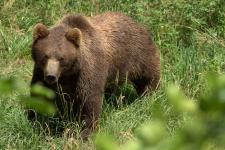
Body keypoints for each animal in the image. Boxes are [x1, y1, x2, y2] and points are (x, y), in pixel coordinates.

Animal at [29, 12, 161, 139]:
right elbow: (40, 92)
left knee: (149, 78)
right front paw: (35, 119)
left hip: (140, 55)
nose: (51, 76)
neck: (69, 71)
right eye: (45, 56)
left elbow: (89, 98)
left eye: (62, 58)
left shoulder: (88, 68)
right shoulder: (41, 70)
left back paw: (148, 98)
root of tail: (137, 22)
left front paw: (85, 133)